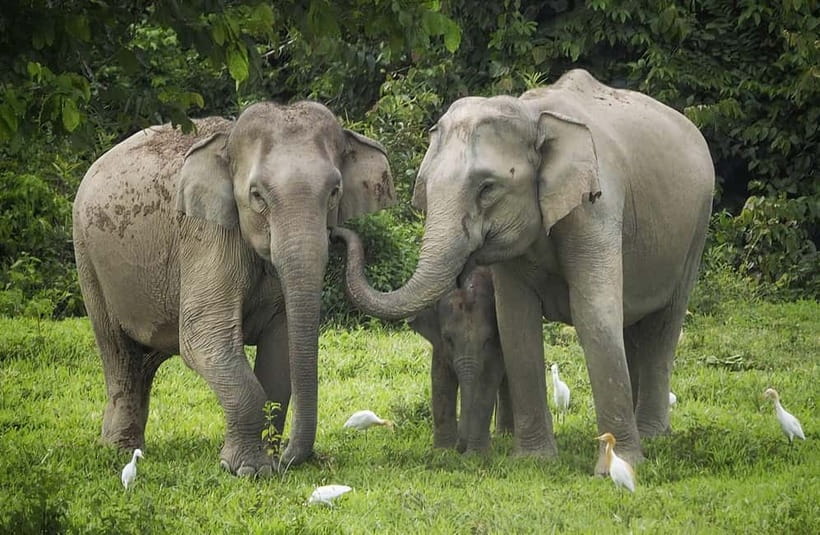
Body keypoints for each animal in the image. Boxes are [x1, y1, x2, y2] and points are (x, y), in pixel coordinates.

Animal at [73, 101, 395, 476]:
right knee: (119, 351)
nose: (287, 459)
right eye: (257, 196)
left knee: (146, 359)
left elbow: (281, 346)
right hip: (88, 257)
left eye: (334, 192)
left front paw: (264, 462)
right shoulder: (207, 233)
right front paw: (248, 469)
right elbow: (203, 335)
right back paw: (120, 450)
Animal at [408, 266, 513, 453]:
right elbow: (441, 377)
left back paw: (505, 436)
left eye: (487, 340)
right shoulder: (440, 343)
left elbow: (489, 378)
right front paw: (443, 451)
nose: (460, 447)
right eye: (448, 339)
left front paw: (477, 453)